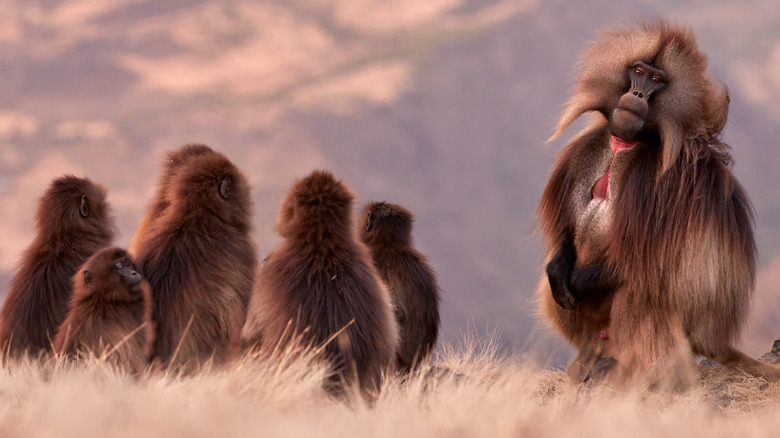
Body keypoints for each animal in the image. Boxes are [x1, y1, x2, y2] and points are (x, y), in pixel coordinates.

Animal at [536, 18, 780, 384]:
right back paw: (586, 360)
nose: (637, 94)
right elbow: (564, 240)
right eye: (638, 71)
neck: (627, 144)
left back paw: (625, 368)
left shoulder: (663, 184)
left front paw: (575, 280)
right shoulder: (586, 153)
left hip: (673, 333)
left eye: (656, 80)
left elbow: (645, 263)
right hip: (598, 333)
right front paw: (559, 269)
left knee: (644, 285)